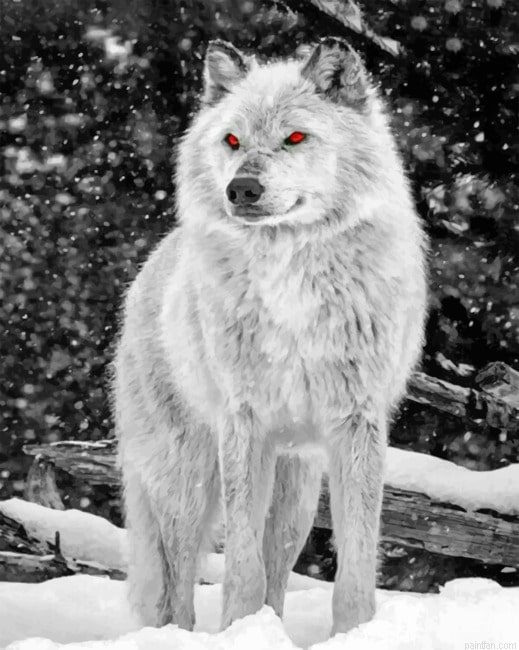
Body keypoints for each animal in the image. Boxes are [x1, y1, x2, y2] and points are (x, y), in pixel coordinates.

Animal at [114, 37, 427, 636]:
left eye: (295, 137)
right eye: (232, 140)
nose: (242, 188)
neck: (291, 278)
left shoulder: (356, 424)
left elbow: (355, 566)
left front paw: (354, 634)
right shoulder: (245, 422)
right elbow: (241, 567)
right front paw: (239, 630)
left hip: (297, 489)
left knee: (278, 562)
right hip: (188, 479)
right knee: (175, 583)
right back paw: (181, 635)